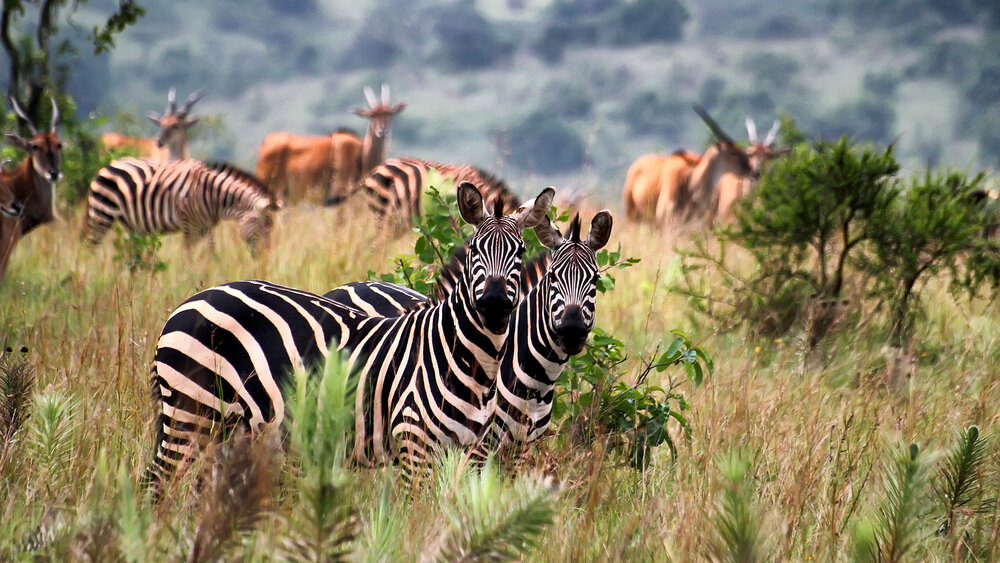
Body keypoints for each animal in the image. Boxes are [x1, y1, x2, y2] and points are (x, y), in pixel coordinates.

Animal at [85, 158, 278, 252]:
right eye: (264, 227)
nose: (265, 257)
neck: (212, 194)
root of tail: (108, 165)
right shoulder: (189, 222)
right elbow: (188, 252)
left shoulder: (205, 226)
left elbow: (211, 251)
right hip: (101, 214)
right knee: (91, 246)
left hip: (129, 223)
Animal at [146, 183, 556, 492]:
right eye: (473, 250)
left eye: (520, 251)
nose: (493, 301)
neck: (467, 359)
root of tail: (191, 300)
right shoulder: (414, 446)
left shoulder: (468, 454)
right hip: (190, 409)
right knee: (158, 482)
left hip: (226, 426)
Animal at [254, 83, 406, 207]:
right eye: (371, 115)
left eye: (390, 114)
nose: (383, 131)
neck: (361, 153)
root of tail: (265, 142)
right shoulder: (340, 193)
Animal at [324, 212, 612, 454]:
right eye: (552, 277)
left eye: (595, 280)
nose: (572, 330)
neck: (538, 381)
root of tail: (345, 286)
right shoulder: (479, 445)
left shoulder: (521, 449)